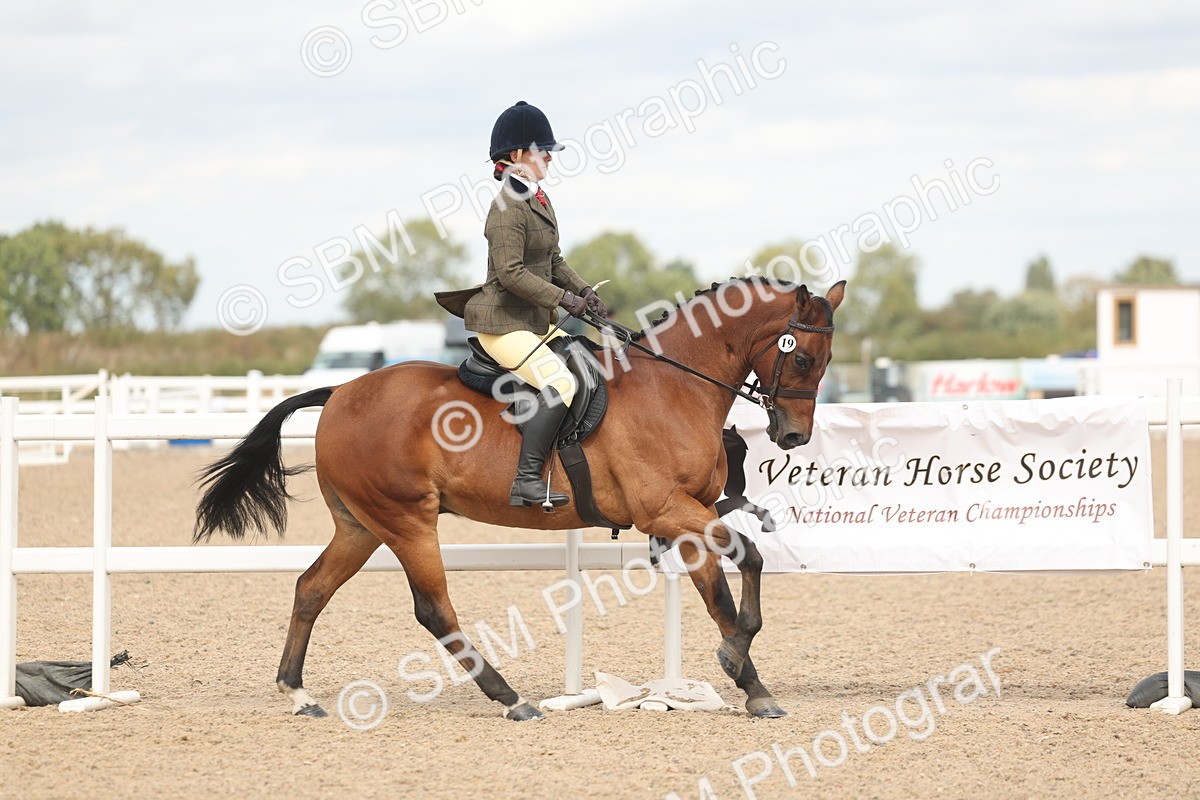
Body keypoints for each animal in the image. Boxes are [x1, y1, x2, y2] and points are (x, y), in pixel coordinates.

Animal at [193, 277, 845, 721]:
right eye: (802, 357)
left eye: (827, 361)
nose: (794, 436)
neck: (675, 386)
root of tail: (340, 392)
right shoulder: (665, 510)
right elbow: (735, 579)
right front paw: (741, 667)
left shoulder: (690, 515)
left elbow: (732, 580)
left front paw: (748, 679)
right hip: (406, 520)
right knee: (433, 609)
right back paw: (510, 698)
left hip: (360, 525)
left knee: (312, 588)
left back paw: (297, 692)